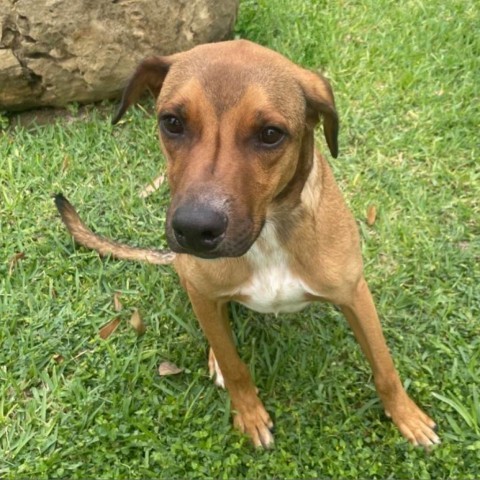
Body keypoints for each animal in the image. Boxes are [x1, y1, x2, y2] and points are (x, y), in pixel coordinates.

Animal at [55, 39, 438, 448]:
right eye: (172, 122)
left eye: (270, 133)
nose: (194, 229)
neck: (267, 236)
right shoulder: (205, 293)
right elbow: (234, 364)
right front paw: (249, 414)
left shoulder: (355, 294)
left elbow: (384, 365)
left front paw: (407, 416)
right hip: (194, 283)